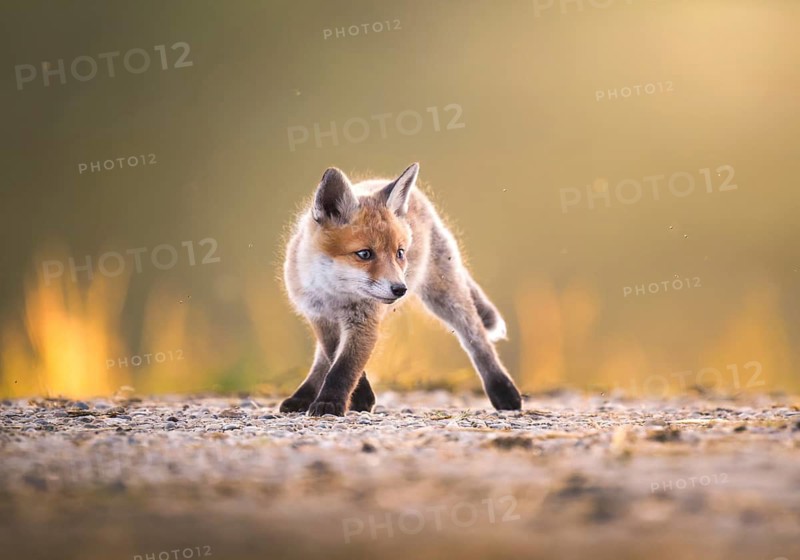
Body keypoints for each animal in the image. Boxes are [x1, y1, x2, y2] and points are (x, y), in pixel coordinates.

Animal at [280, 162, 522, 416]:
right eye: (364, 254)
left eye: (400, 253)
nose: (400, 289)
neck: (334, 295)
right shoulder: (320, 317)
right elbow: (335, 360)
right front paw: (358, 397)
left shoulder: (364, 322)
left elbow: (344, 368)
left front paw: (332, 402)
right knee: (321, 358)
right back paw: (301, 397)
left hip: (446, 297)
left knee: (477, 339)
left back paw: (503, 391)